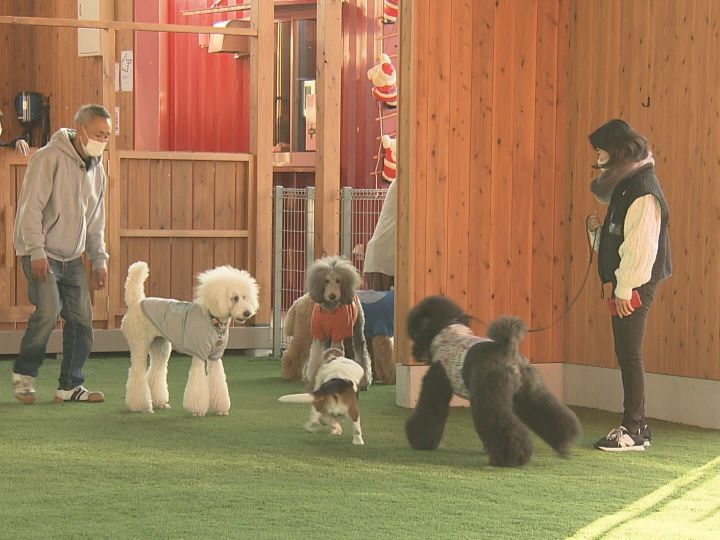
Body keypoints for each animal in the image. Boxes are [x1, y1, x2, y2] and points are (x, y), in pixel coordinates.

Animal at [121, 261, 259, 416]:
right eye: (235, 298)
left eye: (245, 297)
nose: (247, 313)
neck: (214, 320)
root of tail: (136, 302)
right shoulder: (199, 354)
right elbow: (198, 384)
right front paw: (197, 411)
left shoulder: (215, 356)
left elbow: (218, 381)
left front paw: (220, 409)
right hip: (139, 343)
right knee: (137, 372)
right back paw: (141, 406)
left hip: (160, 346)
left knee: (157, 370)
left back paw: (159, 403)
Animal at [282, 256, 372, 390]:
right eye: (326, 281)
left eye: (338, 280)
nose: (332, 295)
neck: (329, 309)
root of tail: (297, 302)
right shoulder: (320, 335)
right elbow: (319, 356)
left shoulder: (338, 334)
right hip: (304, 333)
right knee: (293, 352)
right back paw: (291, 374)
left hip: (354, 331)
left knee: (361, 352)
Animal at [405, 296, 581, 467]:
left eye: (415, 331)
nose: (414, 352)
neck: (446, 331)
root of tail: (507, 351)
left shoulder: (435, 385)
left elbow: (428, 412)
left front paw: (420, 440)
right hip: (530, 391)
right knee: (550, 413)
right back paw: (564, 441)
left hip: (490, 396)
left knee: (503, 426)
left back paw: (511, 457)